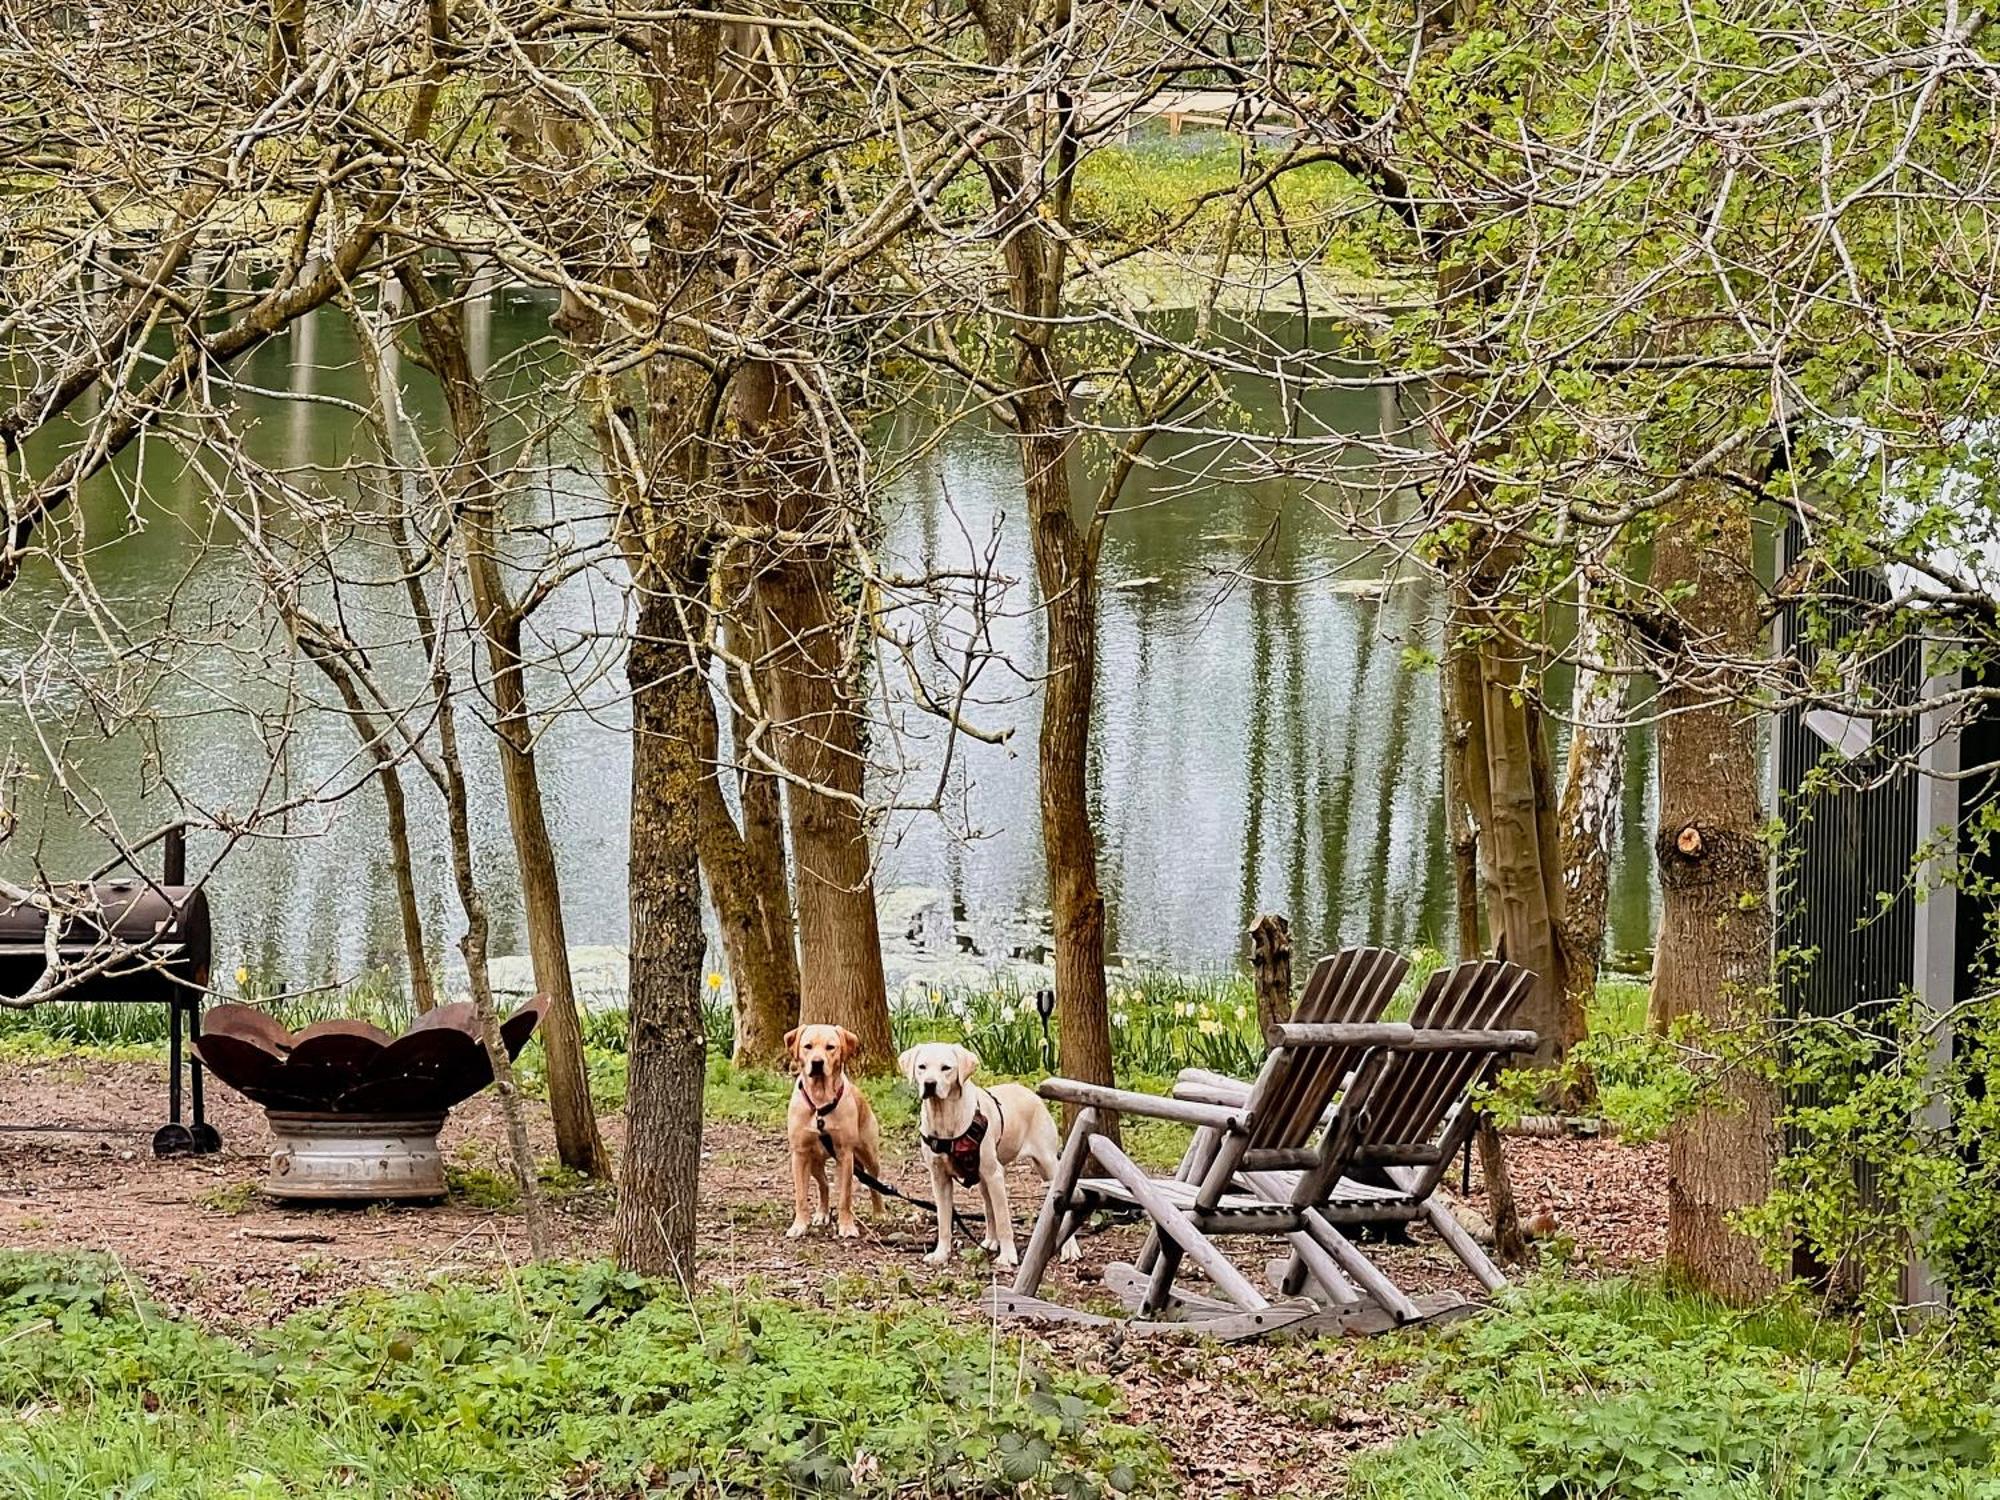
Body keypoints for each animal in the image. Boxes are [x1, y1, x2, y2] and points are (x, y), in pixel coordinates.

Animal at [900, 1048, 1080, 1272]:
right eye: (921, 1067)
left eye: (946, 1068)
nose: (930, 1084)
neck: (945, 1120)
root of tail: (1033, 1094)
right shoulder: (939, 1179)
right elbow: (944, 1220)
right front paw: (941, 1254)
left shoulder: (994, 1175)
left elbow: (1004, 1220)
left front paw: (1008, 1256)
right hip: (983, 1178)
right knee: (988, 1209)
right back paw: (990, 1242)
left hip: (1047, 1164)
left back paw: (1070, 1249)